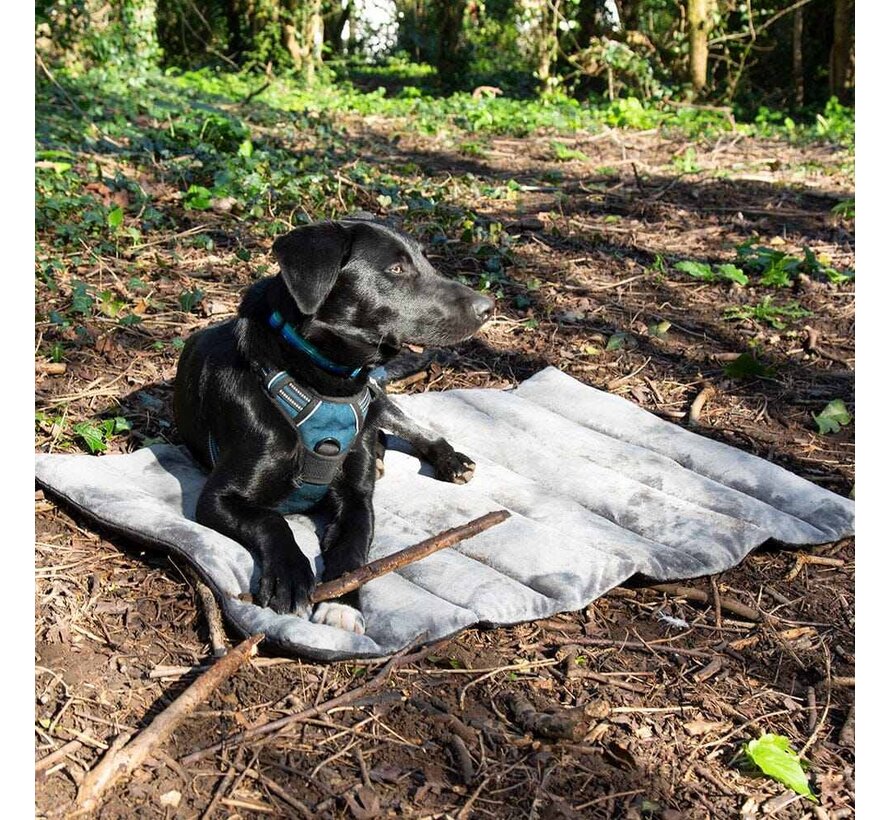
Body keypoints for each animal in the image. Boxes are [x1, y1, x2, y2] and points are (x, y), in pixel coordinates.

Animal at [173, 218, 492, 636]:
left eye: (427, 261)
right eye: (396, 269)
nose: (488, 307)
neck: (323, 381)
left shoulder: (357, 500)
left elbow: (354, 549)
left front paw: (341, 604)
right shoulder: (217, 498)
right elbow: (272, 520)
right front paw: (290, 577)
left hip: (377, 401)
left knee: (408, 426)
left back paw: (448, 459)